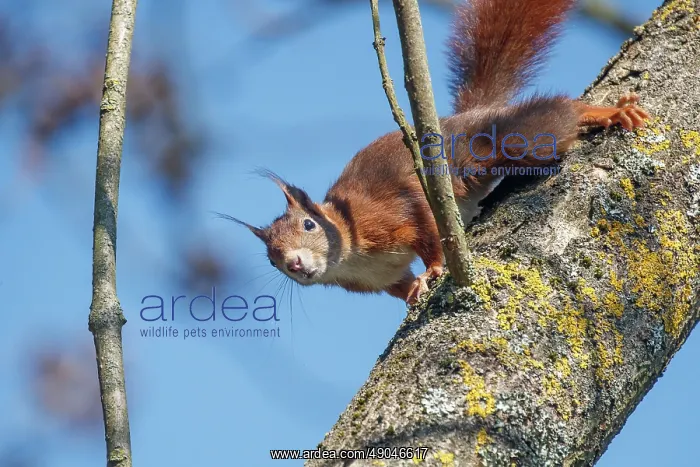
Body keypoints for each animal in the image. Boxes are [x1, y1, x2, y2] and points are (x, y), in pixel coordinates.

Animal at [221, 0, 650, 305]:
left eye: (309, 225)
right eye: (271, 257)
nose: (293, 262)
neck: (350, 251)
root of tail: (456, 118)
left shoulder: (393, 212)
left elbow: (429, 231)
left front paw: (433, 271)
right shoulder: (375, 279)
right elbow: (400, 284)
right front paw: (414, 294)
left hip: (499, 143)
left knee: (553, 118)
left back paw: (607, 112)